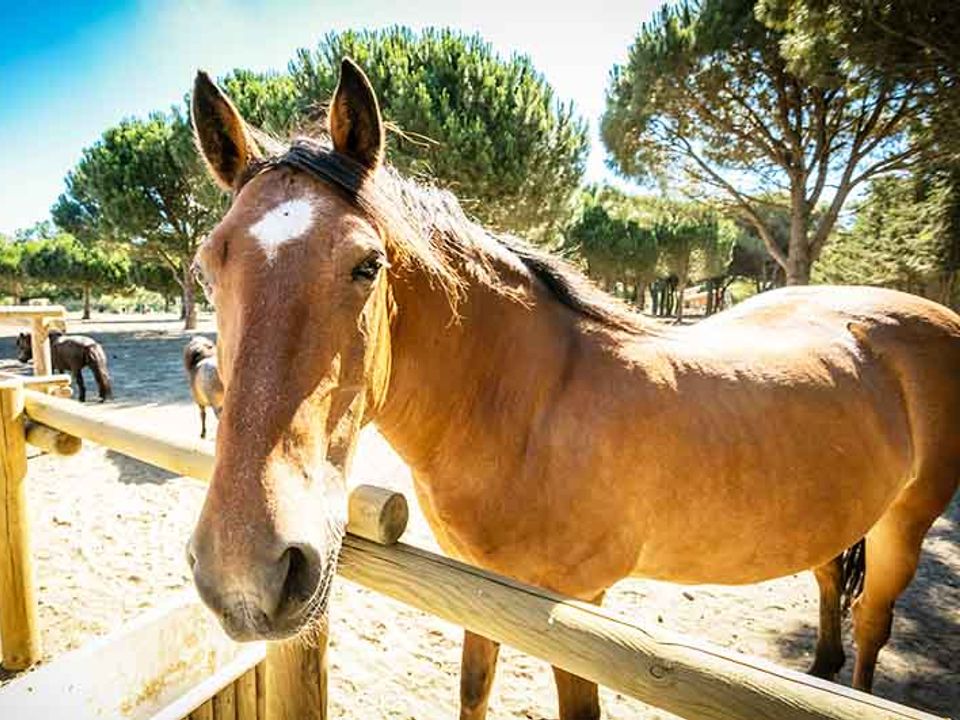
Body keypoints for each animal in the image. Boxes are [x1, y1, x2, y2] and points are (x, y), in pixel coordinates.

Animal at [186, 62, 960, 720]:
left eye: (367, 264)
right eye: (206, 265)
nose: (245, 572)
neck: (527, 408)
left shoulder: (578, 610)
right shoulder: (479, 589)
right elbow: (473, 690)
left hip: (903, 527)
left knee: (871, 624)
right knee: (830, 583)